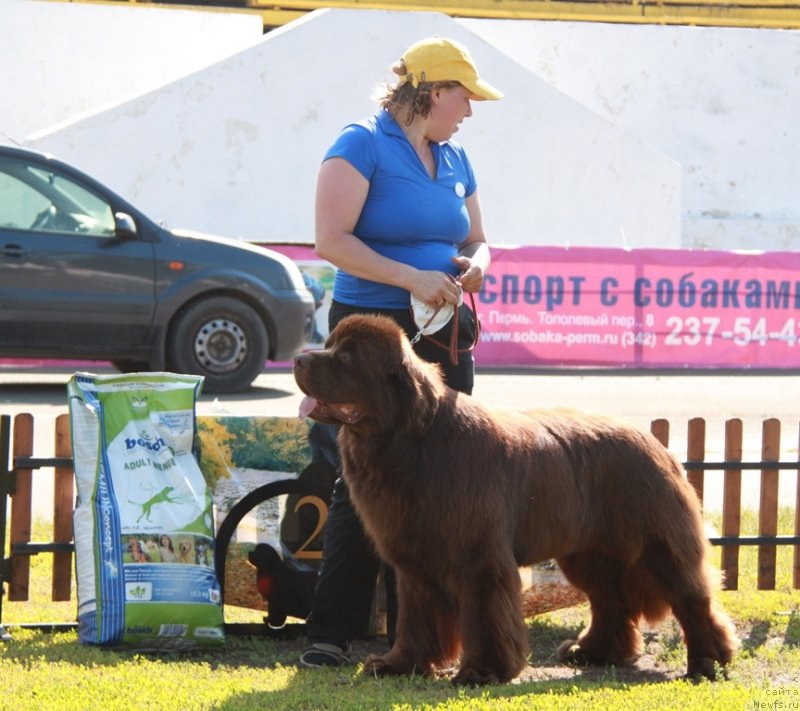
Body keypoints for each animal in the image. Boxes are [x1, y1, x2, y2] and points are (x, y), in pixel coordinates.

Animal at [294, 314, 736, 688]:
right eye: (330, 345)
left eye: (348, 357)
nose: (298, 359)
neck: (409, 443)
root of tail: (656, 441)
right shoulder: (415, 562)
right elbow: (416, 619)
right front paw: (400, 664)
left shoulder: (479, 559)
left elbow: (485, 616)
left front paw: (482, 671)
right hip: (590, 552)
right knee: (610, 599)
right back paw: (592, 652)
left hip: (655, 544)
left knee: (691, 598)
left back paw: (706, 664)